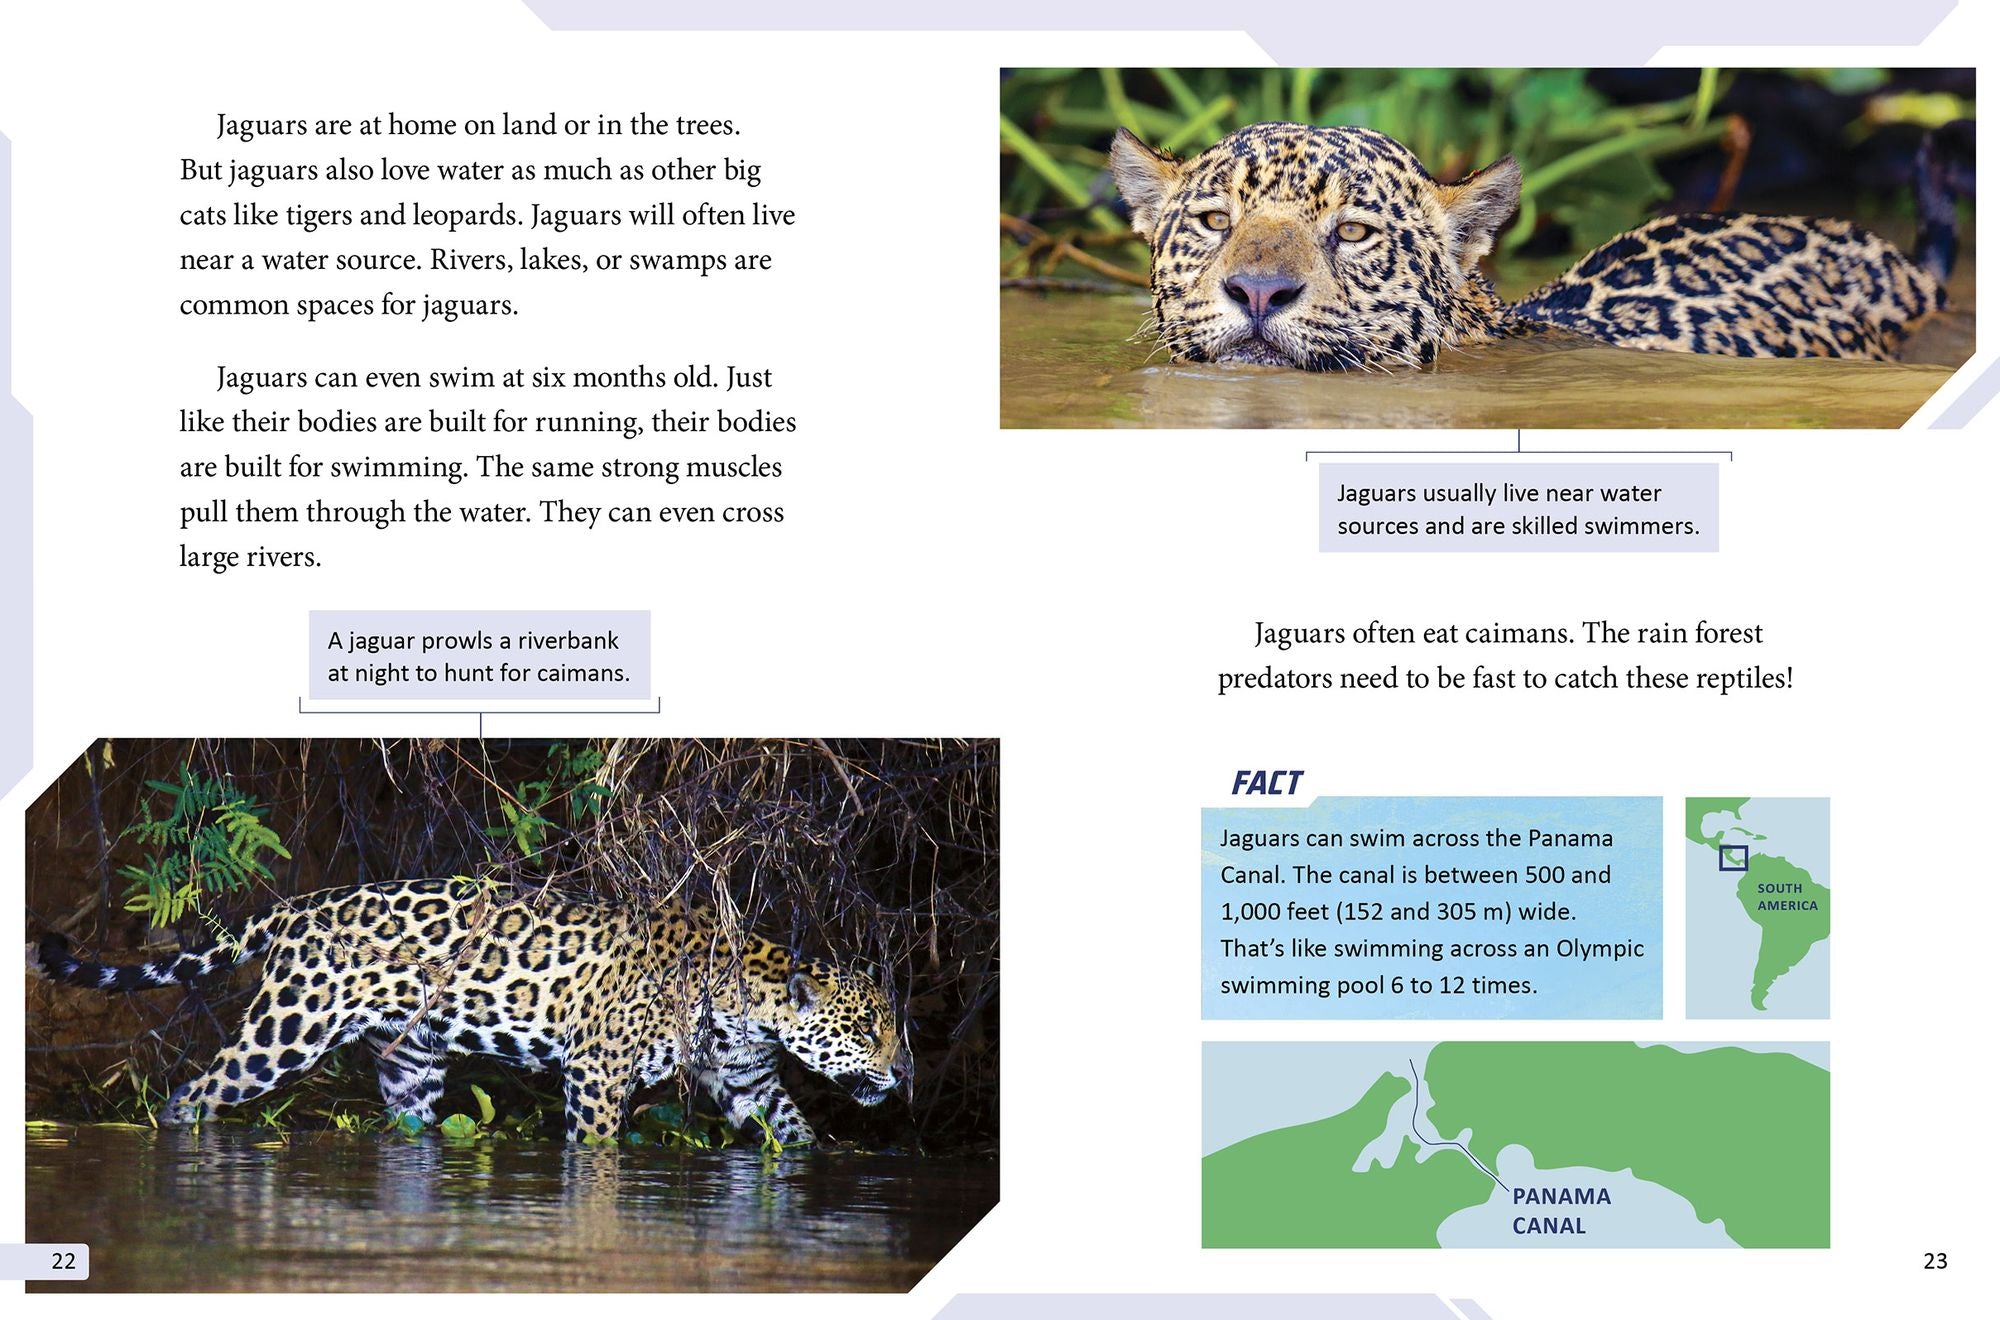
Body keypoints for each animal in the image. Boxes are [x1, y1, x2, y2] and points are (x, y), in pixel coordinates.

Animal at [35, 878, 912, 1145]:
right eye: (867, 1029)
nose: (905, 1072)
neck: (745, 1002)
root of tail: (294, 907)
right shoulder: (598, 1071)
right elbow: (598, 1153)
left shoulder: (750, 1082)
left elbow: (797, 1137)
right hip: (284, 1033)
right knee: (193, 1095)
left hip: (412, 1064)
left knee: (410, 1122)